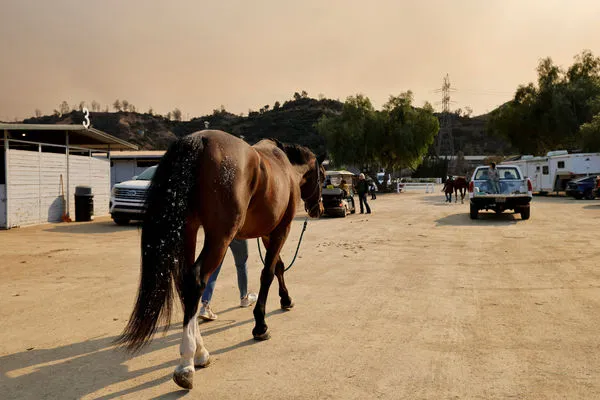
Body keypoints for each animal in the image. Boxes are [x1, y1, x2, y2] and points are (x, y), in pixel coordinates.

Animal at [115, 130, 326, 390]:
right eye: (323, 176)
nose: (319, 209)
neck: (285, 166)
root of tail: (200, 140)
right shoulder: (280, 230)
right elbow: (268, 273)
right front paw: (260, 325)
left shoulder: (268, 234)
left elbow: (278, 267)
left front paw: (286, 300)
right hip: (219, 238)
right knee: (196, 280)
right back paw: (187, 363)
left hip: (189, 231)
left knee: (185, 283)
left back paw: (200, 352)